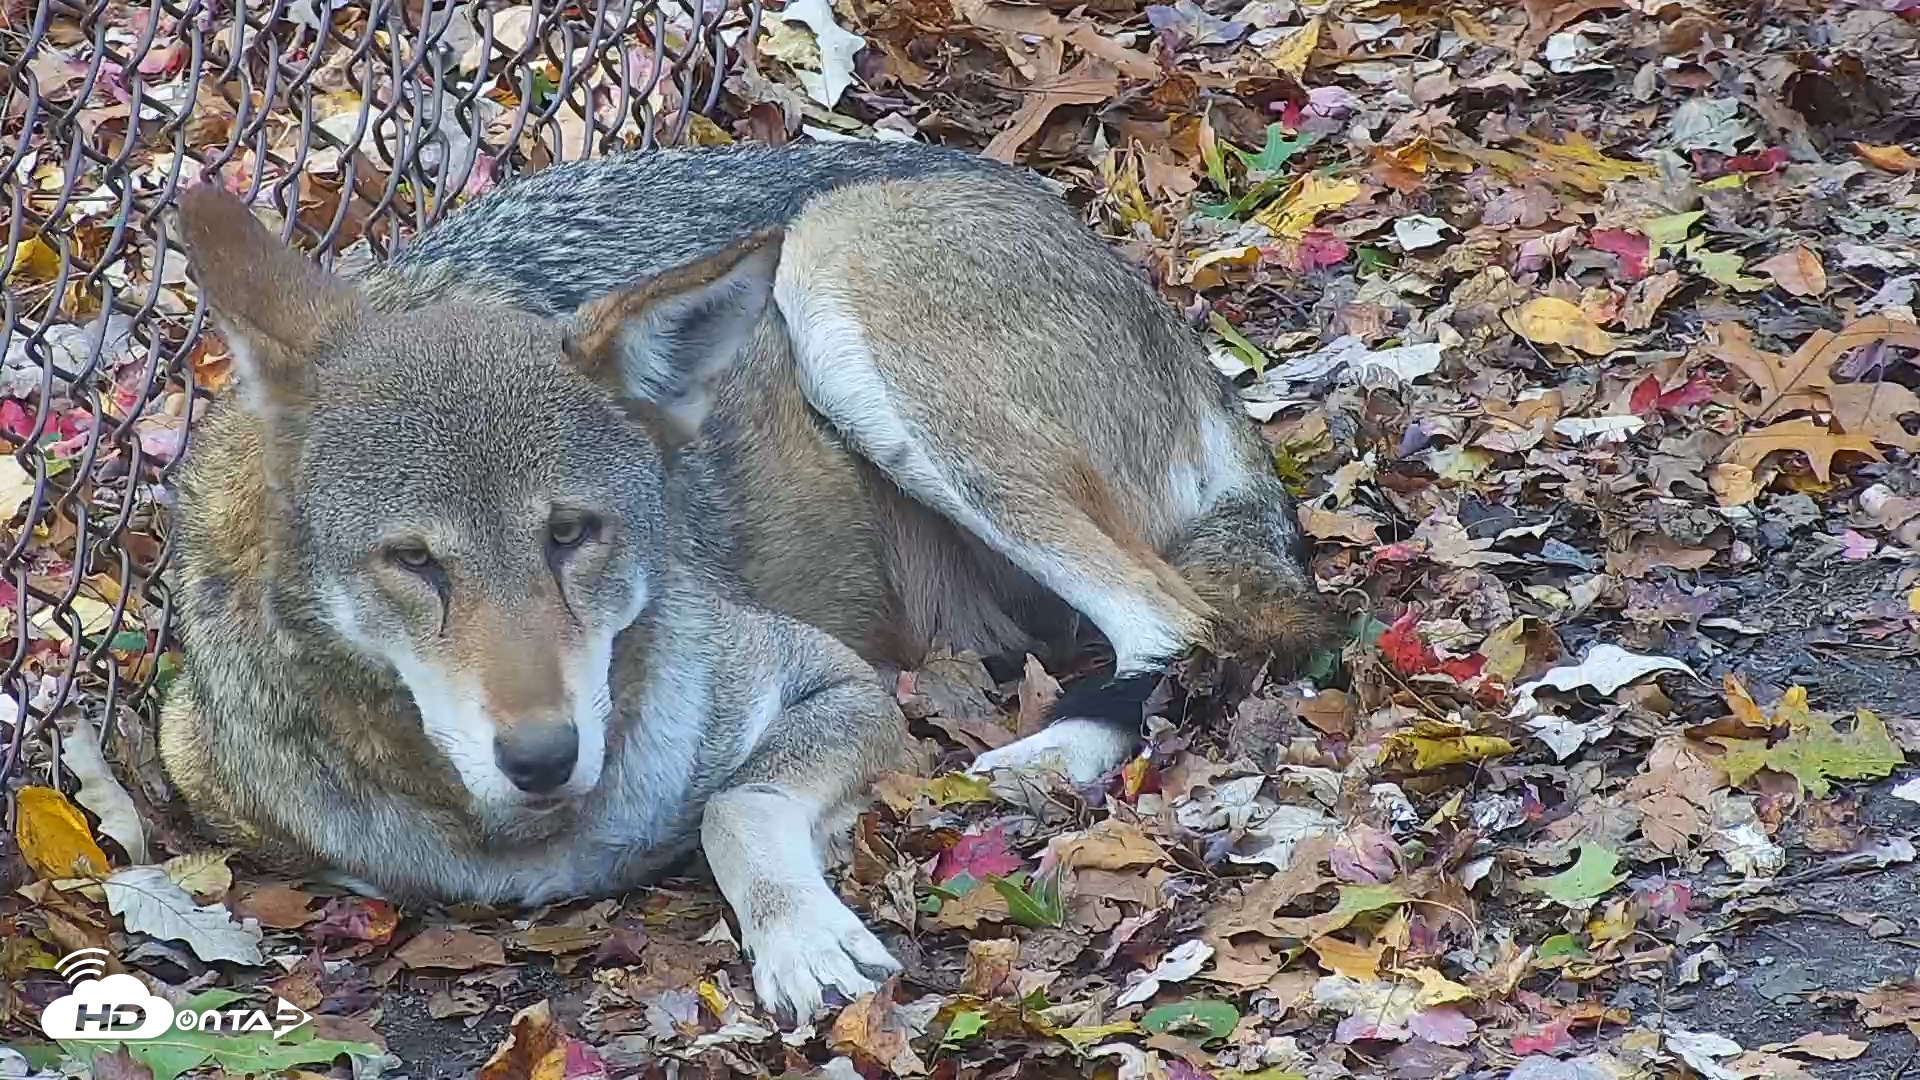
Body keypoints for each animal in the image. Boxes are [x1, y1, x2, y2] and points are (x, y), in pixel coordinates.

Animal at [156, 139, 1336, 1023]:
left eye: (572, 535)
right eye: (413, 561)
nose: (542, 757)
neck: (530, 840)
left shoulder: (833, 680)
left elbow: (733, 803)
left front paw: (805, 940)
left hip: (833, 286)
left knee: (1178, 624)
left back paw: (1020, 766)